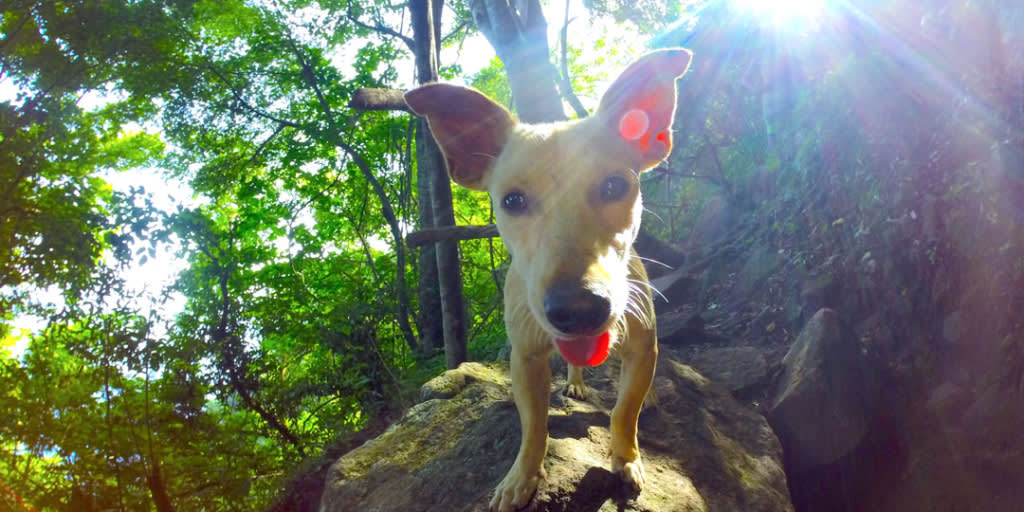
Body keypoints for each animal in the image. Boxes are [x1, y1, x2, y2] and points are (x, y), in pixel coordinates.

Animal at [403, 48, 692, 512]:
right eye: (512, 200)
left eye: (615, 185)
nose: (578, 309)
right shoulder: (525, 357)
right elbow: (534, 424)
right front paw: (522, 477)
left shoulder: (643, 346)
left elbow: (625, 410)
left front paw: (626, 458)